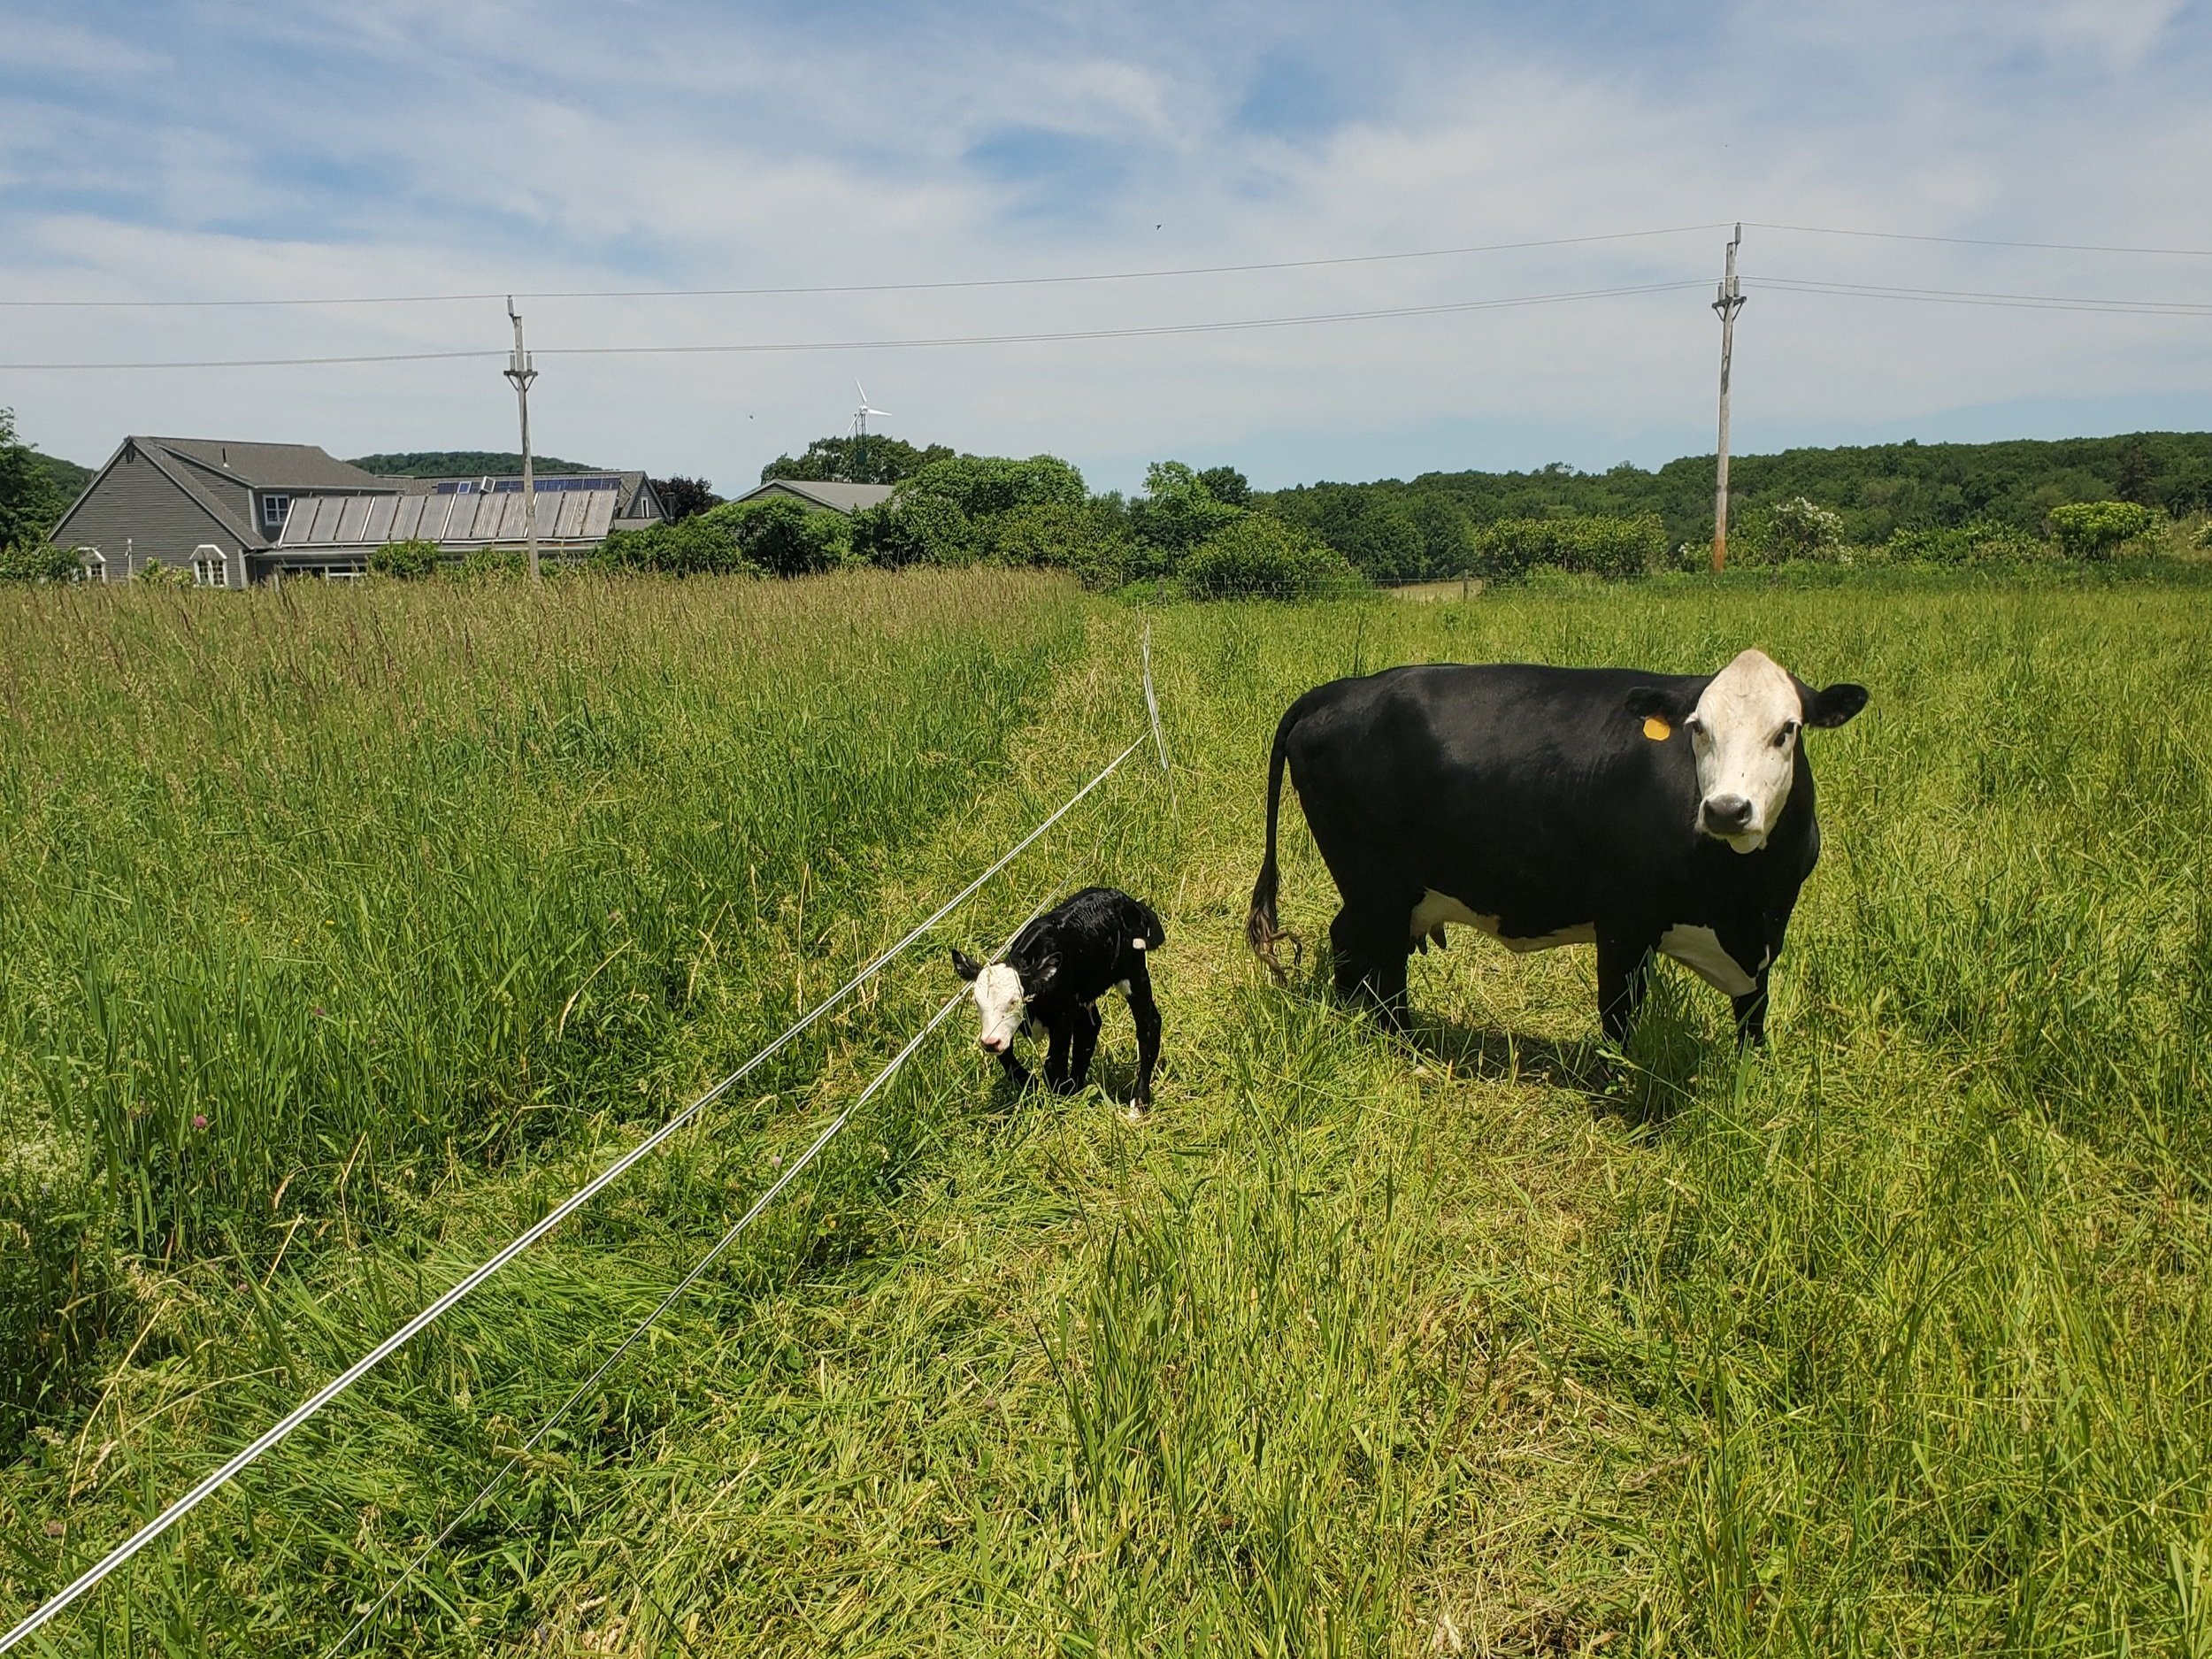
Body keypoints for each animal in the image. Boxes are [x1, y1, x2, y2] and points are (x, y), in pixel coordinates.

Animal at [953, 886, 1166, 1111]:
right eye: (977, 1003)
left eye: (1014, 1001)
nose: (989, 1043)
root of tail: (1127, 899)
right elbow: (1007, 1057)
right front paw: (1034, 1085)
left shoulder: (1063, 1015)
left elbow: (1054, 1062)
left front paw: (1058, 1098)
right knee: (1090, 1027)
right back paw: (1077, 1086)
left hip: (1134, 972)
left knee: (1149, 1024)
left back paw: (1139, 1102)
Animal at [1245, 649, 1867, 1047]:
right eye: (1698, 728)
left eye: (1787, 730)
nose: (1727, 809)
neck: (1744, 897)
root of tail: (1339, 689)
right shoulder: (1624, 923)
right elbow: (1618, 1019)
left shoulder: (1765, 937)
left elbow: (1752, 1020)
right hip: (1375, 883)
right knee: (1361, 949)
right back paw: (1396, 1043)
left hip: (1394, 892)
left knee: (1372, 956)